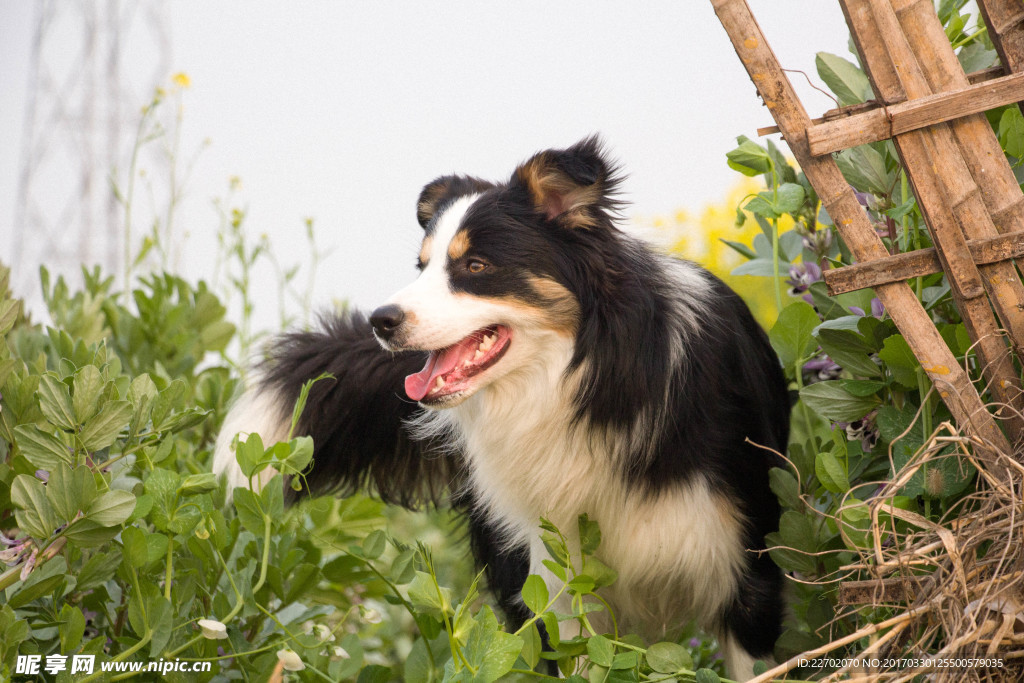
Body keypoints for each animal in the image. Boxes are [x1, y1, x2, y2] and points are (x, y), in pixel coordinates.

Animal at [214, 137, 790, 679]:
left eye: (475, 265)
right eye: (422, 266)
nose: (381, 320)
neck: (586, 382)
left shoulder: (747, 565)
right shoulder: (556, 580)